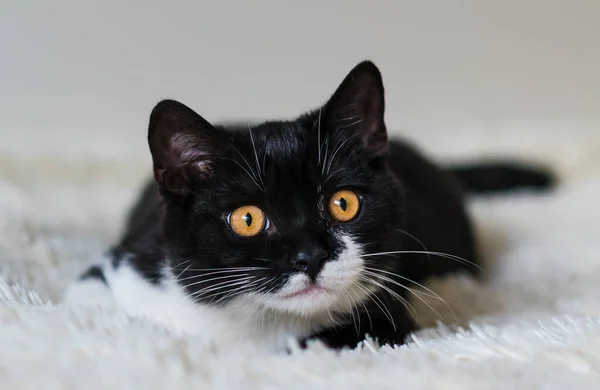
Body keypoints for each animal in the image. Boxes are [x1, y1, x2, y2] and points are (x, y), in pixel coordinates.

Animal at [65, 60, 552, 350]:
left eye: (343, 203)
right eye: (247, 218)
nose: (310, 256)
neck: (249, 323)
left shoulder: (387, 314)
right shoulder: (125, 264)